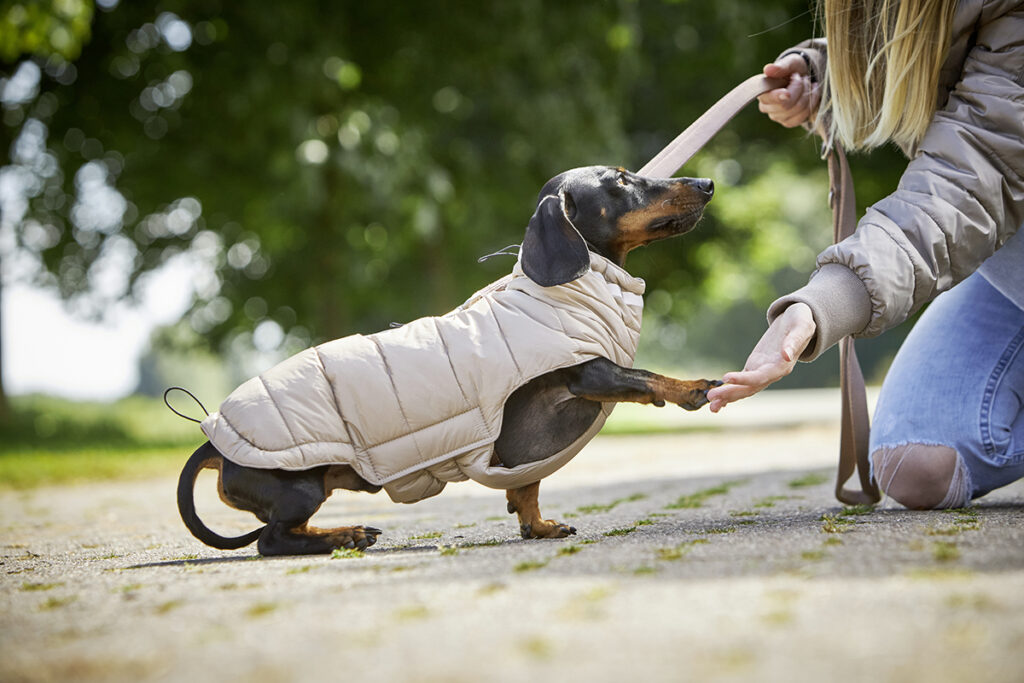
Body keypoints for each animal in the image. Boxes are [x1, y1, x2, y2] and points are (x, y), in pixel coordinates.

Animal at [178, 165, 720, 557]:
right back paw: (343, 537)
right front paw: (692, 387)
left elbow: (526, 488)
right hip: (300, 485)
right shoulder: (588, 370)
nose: (707, 183)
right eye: (622, 181)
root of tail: (214, 441)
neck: (564, 292)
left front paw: (538, 526)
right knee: (272, 541)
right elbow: (644, 377)